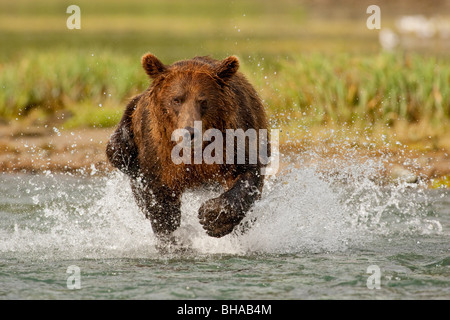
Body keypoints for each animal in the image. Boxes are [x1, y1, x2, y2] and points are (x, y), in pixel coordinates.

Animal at [106, 52, 268, 248]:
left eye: (203, 101)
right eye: (176, 99)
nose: (189, 132)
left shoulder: (233, 140)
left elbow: (247, 175)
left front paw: (213, 217)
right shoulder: (157, 155)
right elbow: (158, 199)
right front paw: (172, 233)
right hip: (128, 133)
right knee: (117, 151)